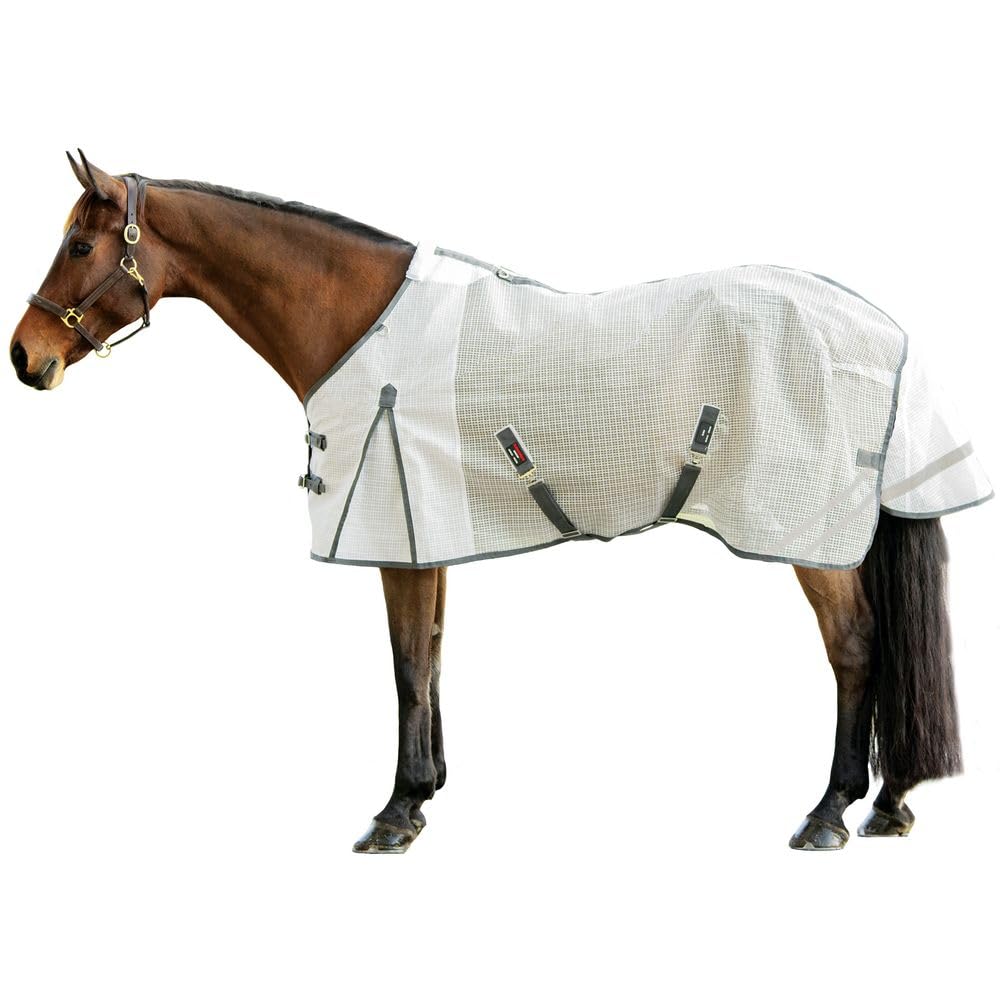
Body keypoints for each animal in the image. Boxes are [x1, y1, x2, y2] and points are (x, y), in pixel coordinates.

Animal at [9, 150, 976, 853]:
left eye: (81, 246)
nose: (25, 356)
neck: (360, 321)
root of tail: (881, 328)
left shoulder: (393, 531)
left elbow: (405, 663)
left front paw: (394, 814)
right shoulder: (428, 535)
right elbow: (433, 655)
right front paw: (427, 790)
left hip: (808, 536)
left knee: (857, 650)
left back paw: (828, 813)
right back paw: (889, 805)